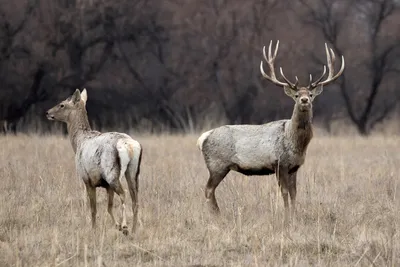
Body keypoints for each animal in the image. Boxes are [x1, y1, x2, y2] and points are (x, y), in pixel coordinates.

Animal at [197, 40, 344, 220]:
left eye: (310, 94)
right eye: (296, 95)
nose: (304, 100)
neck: (294, 143)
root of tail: (203, 138)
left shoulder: (294, 167)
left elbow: (294, 193)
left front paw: (294, 214)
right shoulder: (279, 163)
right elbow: (285, 192)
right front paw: (286, 215)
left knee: (209, 190)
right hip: (217, 164)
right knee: (208, 189)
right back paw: (217, 215)